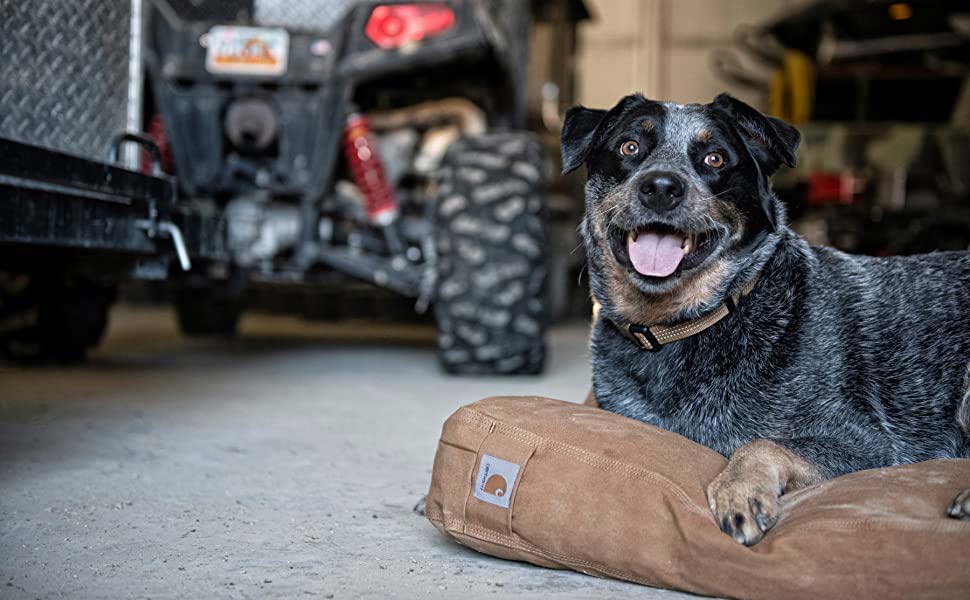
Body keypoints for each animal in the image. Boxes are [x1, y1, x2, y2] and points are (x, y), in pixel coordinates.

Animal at [560, 92, 968, 544]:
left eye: (716, 158)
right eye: (629, 147)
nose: (662, 187)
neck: (688, 325)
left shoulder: (867, 443)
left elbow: (760, 444)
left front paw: (739, 491)